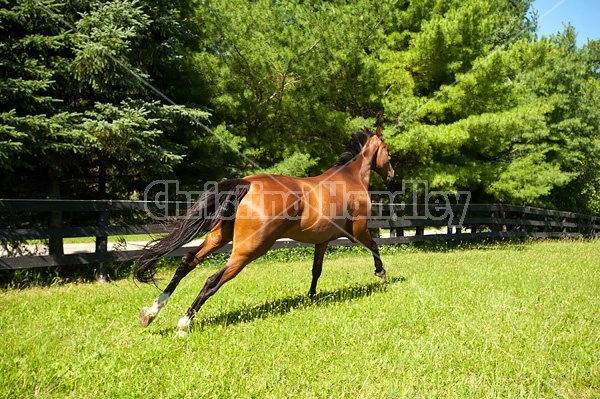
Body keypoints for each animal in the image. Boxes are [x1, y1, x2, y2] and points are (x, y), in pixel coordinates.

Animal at [138, 128, 396, 334]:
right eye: (387, 150)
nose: (392, 175)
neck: (350, 178)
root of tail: (247, 183)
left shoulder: (321, 241)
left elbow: (316, 270)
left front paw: (311, 297)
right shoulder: (358, 231)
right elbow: (374, 247)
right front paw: (381, 273)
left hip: (219, 238)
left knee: (187, 261)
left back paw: (150, 313)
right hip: (248, 250)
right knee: (212, 280)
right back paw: (184, 324)